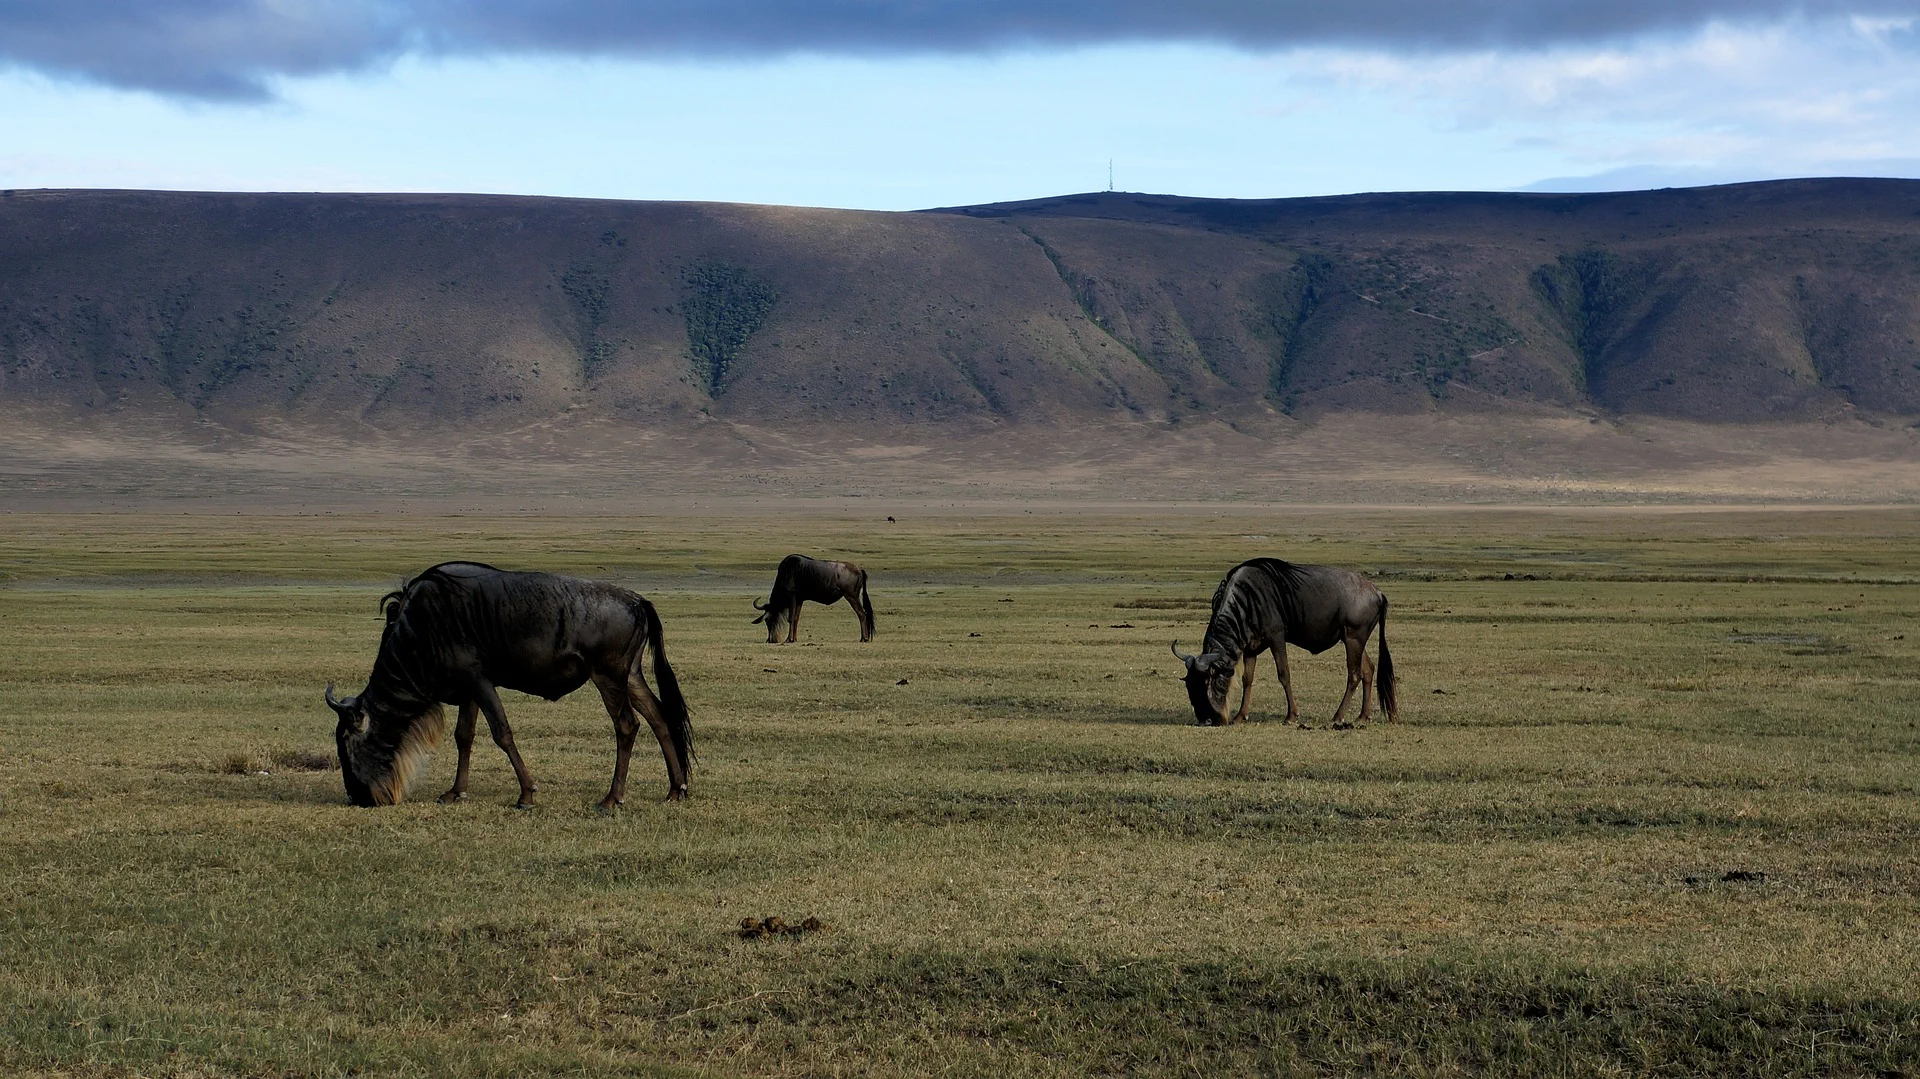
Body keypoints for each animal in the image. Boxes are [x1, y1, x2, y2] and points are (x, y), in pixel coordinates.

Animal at [323, 561, 691, 809]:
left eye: (347, 742)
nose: (357, 797)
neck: (419, 630)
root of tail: (638, 601)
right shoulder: (469, 688)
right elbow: (464, 736)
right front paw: (455, 792)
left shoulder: (480, 680)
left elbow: (502, 733)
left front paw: (526, 794)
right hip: (631, 676)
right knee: (659, 719)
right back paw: (676, 789)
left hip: (608, 676)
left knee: (627, 725)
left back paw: (612, 798)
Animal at [1171, 558, 1397, 727]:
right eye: (1189, 685)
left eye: (1206, 681)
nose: (1206, 720)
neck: (1246, 600)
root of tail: (1376, 592)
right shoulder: (1250, 647)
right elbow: (1247, 679)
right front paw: (1240, 716)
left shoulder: (1277, 638)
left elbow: (1284, 674)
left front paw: (1291, 716)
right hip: (1354, 639)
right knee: (1368, 669)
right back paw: (1362, 716)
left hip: (1353, 638)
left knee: (1354, 674)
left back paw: (1338, 716)